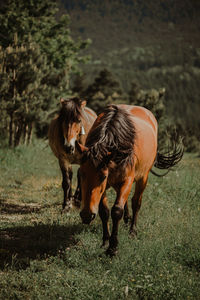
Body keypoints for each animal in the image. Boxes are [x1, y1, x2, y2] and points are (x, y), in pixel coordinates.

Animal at [76, 104, 183, 254]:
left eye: (103, 176)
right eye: (81, 174)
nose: (86, 215)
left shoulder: (126, 180)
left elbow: (116, 210)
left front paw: (112, 248)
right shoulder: (105, 186)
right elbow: (104, 212)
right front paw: (105, 241)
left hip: (143, 178)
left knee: (136, 202)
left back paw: (132, 231)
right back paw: (127, 220)